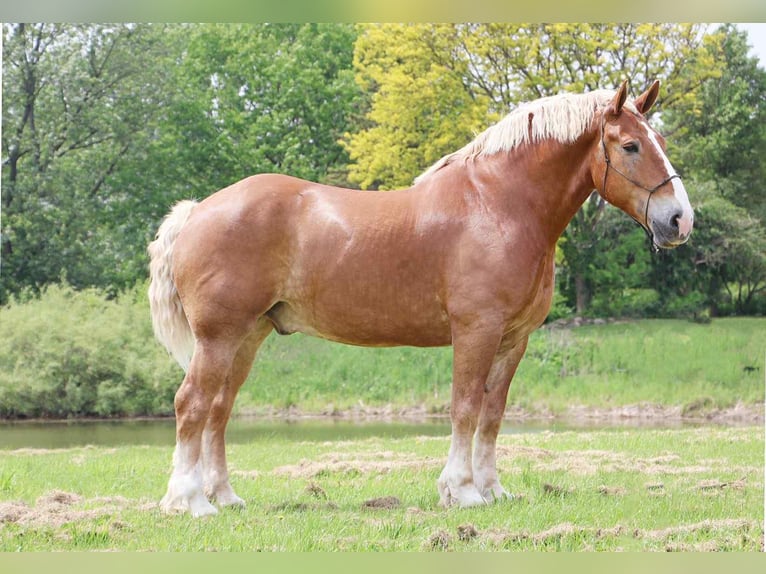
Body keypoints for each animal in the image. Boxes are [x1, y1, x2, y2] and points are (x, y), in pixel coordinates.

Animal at [148, 80, 693, 516]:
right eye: (630, 146)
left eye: (661, 142)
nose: (679, 220)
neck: (499, 204)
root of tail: (198, 210)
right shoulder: (477, 329)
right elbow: (465, 407)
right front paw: (462, 491)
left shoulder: (513, 339)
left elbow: (493, 414)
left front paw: (493, 490)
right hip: (219, 337)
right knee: (192, 404)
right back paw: (188, 502)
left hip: (248, 336)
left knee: (219, 409)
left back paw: (224, 496)